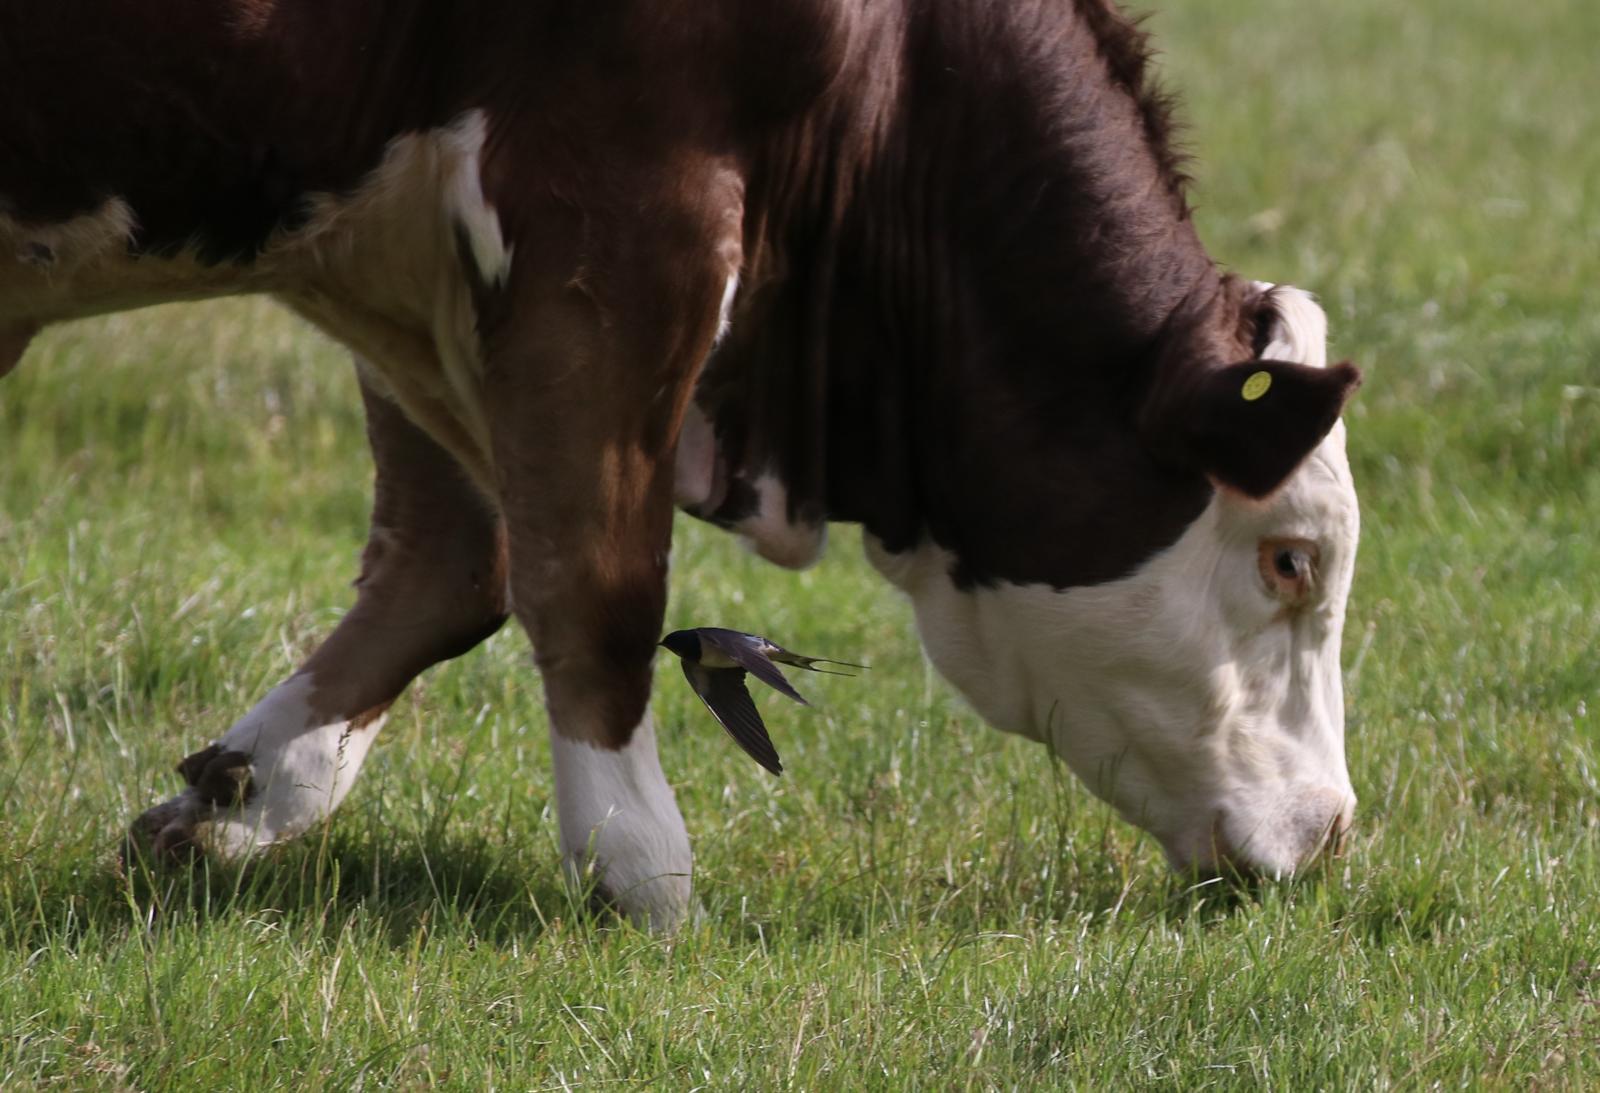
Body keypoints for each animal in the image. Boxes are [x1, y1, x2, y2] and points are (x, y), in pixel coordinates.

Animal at [1, 0, 1362, 928]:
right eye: (1290, 560)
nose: (1331, 831)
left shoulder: (406, 262)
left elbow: (451, 564)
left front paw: (241, 795)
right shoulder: (618, 213)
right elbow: (595, 582)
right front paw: (637, 863)